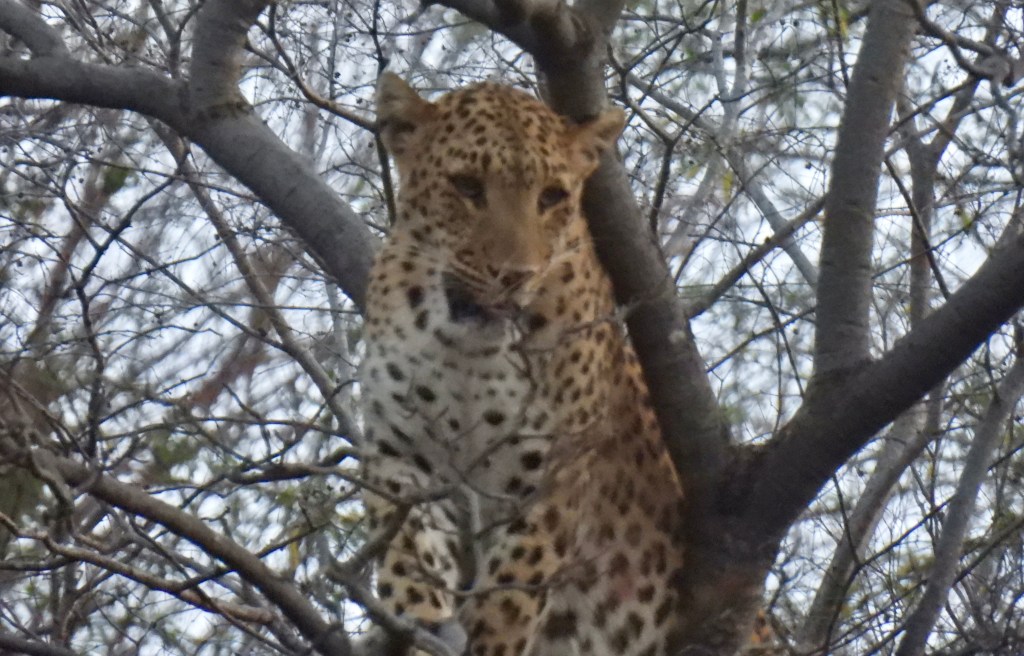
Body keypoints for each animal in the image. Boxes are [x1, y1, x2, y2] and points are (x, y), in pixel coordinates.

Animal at [358, 73, 687, 656]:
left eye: (551, 197)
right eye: (467, 187)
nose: (515, 275)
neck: (466, 351)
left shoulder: (550, 475)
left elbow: (512, 594)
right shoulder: (400, 451)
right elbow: (408, 554)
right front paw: (418, 620)